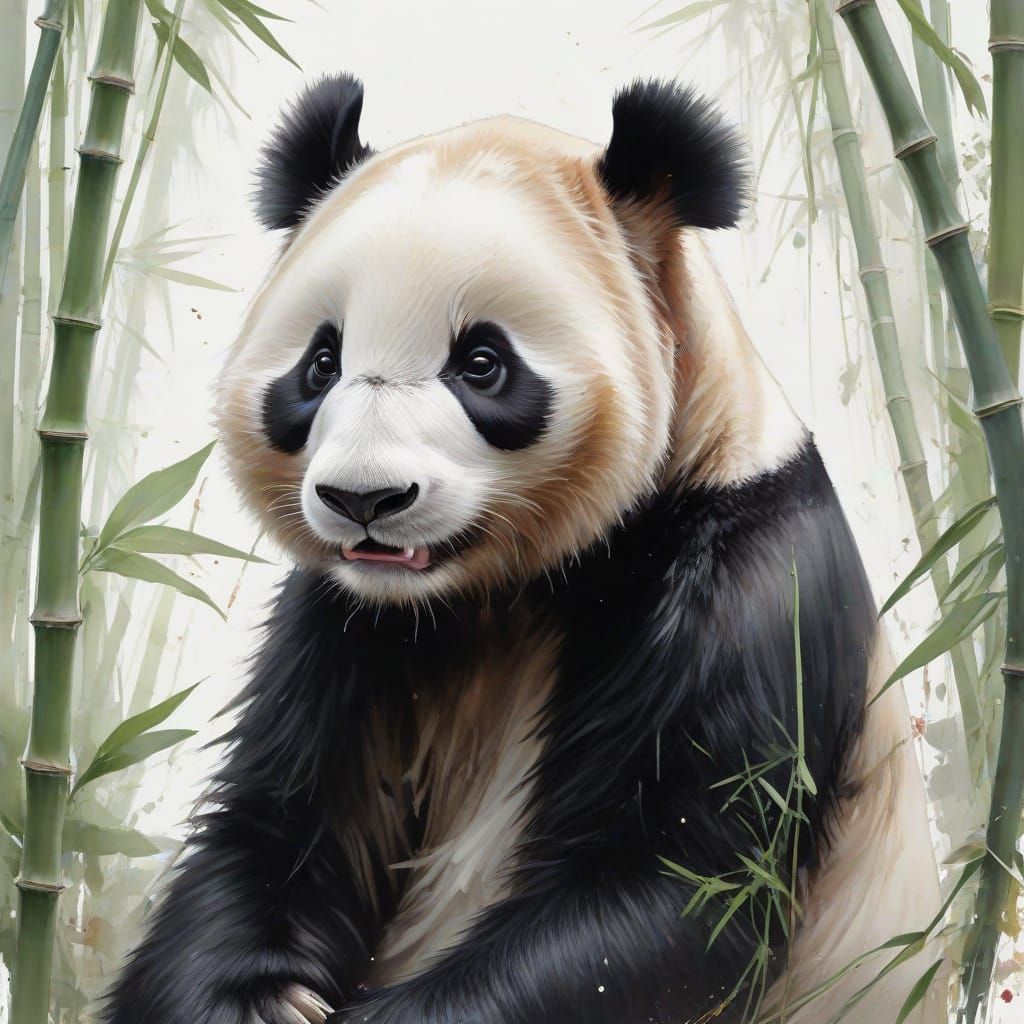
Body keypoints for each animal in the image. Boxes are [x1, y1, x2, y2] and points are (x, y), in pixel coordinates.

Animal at [104, 74, 944, 1024]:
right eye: (321, 363)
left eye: (481, 362)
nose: (364, 499)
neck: (500, 589)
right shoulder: (344, 622)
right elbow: (283, 826)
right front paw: (256, 997)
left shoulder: (750, 591)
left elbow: (673, 887)